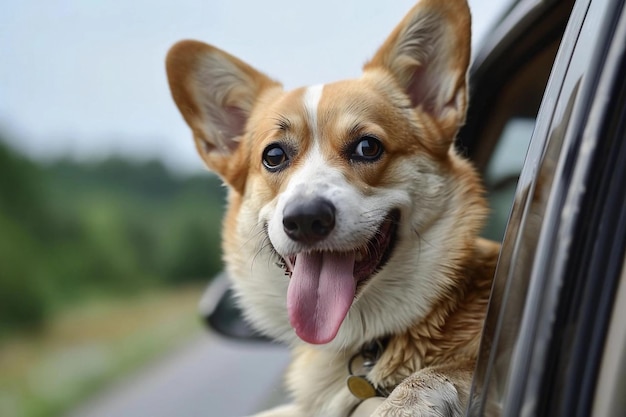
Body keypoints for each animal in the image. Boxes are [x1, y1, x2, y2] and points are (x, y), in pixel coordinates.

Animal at [165, 0, 498, 414]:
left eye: (368, 147)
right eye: (273, 156)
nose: (306, 219)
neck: (364, 340)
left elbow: (443, 371)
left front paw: (404, 402)